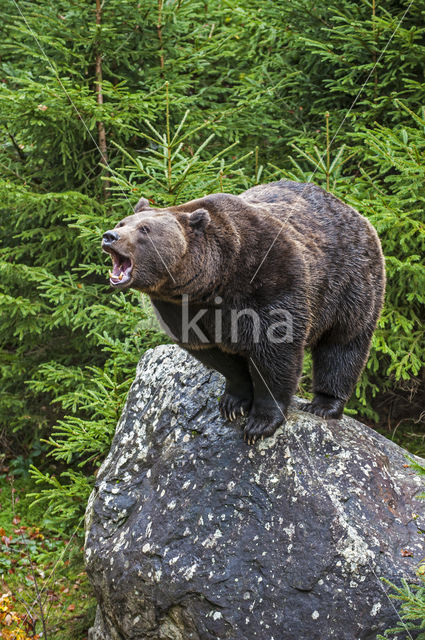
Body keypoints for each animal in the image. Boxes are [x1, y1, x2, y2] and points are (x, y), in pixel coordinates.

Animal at [102, 178, 384, 442]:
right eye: (122, 222)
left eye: (144, 229)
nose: (109, 236)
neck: (213, 282)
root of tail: (354, 212)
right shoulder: (180, 310)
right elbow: (217, 356)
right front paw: (233, 402)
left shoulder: (269, 279)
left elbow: (276, 353)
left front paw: (260, 423)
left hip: (350, 283)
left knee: (343, 343)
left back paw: (324, 405)